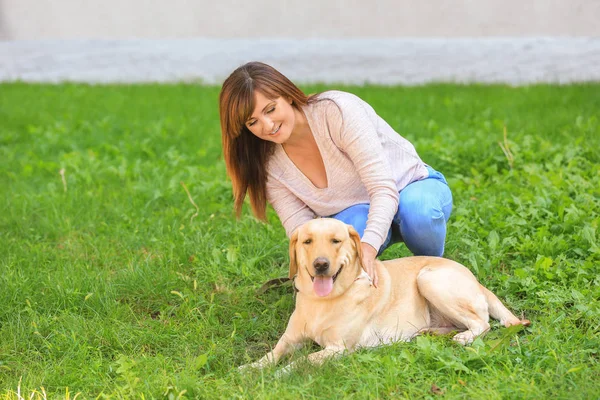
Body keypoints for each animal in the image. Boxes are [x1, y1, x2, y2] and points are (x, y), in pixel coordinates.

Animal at [240, 219, 528, 372]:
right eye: (307, 241)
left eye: (336, 241)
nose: (320, 264)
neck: (323, 300)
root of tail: (476, 280)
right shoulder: (289, 339)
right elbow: (271, 354)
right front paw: (250, 369)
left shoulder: (338, 349)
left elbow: (302, 361)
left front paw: (280, 374)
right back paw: (430, 332)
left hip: (428, 279)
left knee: (482, 323)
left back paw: (464, 337)